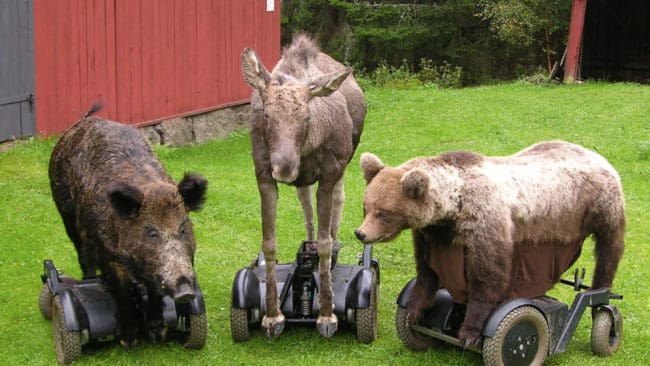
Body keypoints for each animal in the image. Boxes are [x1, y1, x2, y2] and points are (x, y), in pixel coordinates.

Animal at [242, 34, 368, 338]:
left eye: (307, 117)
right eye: (266, 116)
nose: (285, 168)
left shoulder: (331, 171)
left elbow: (324, 243)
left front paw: (326, 314)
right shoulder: (263, 174)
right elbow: (269, 243)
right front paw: (273, 315)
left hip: (345, 161)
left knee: (338, 203)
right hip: (305, 180)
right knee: (306, 206)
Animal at [354, 140, 624, 346]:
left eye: (384, 213)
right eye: (366, 207)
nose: (361, 233)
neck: (453, 207)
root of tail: (594, 153)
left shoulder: (485, 222)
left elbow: (487, 277)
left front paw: (469, 332)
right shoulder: (430, 235)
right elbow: (426, 272)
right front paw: (414, 311)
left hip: (602, 205)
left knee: (609, 249)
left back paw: (600, 296)